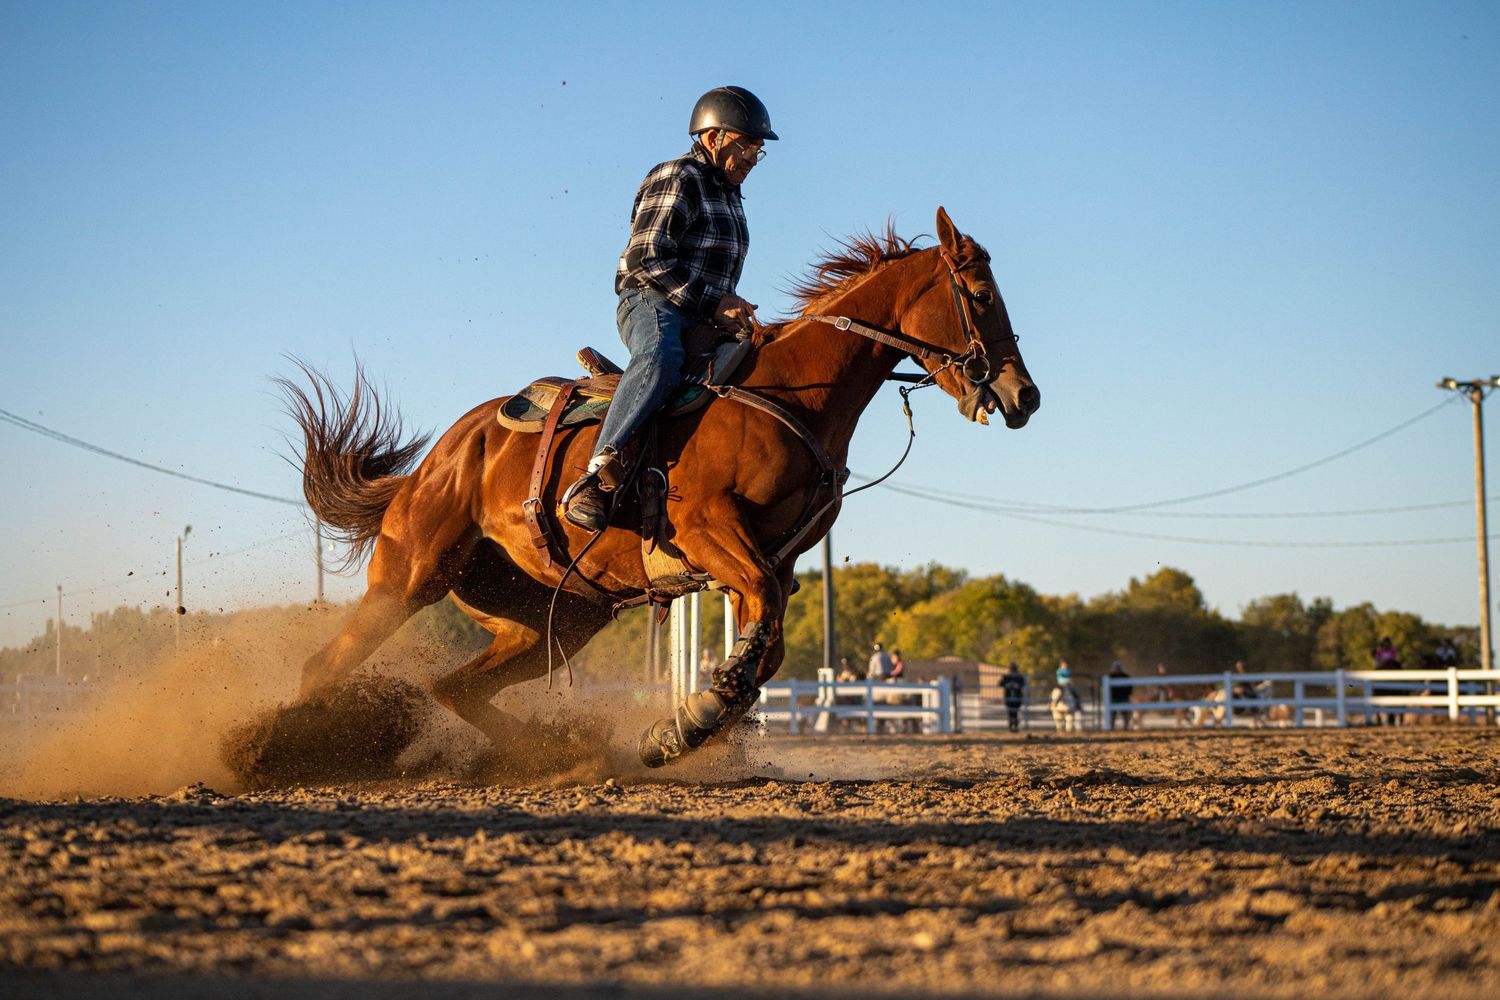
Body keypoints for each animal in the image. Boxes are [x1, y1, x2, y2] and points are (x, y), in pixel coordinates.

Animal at [281, 207, 1040, 768]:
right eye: (979, 295)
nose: (1023, 395)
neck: (790, 392)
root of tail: (435, 462)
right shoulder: (710, 531)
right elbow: (762, 629)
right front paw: (694, 720)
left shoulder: (774, 559)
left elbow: (768, 645)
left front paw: (677, 731)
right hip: (411, 575)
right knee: (325, 662)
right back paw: (286, 748)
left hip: (554, 618)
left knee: (453, 686)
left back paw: (552, 754)